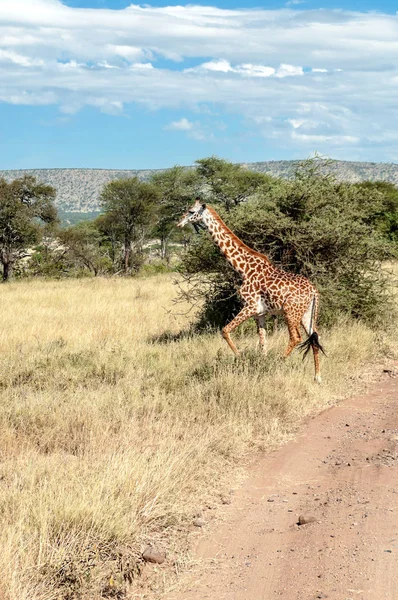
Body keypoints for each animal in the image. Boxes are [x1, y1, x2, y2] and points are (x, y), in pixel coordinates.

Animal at [179, 199, 324, 382]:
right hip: (308, 314)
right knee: (315, 337)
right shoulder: (259, 313)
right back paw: (317, 376)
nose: (179, 222)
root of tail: (313, 291)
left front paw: (241, 357)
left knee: (296, 338)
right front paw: (261, 362)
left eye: (191, 211)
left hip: (291, 312)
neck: (243, 269)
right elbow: (262, 341)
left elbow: (225, 330)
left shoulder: (250, 306)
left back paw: (278, 362)